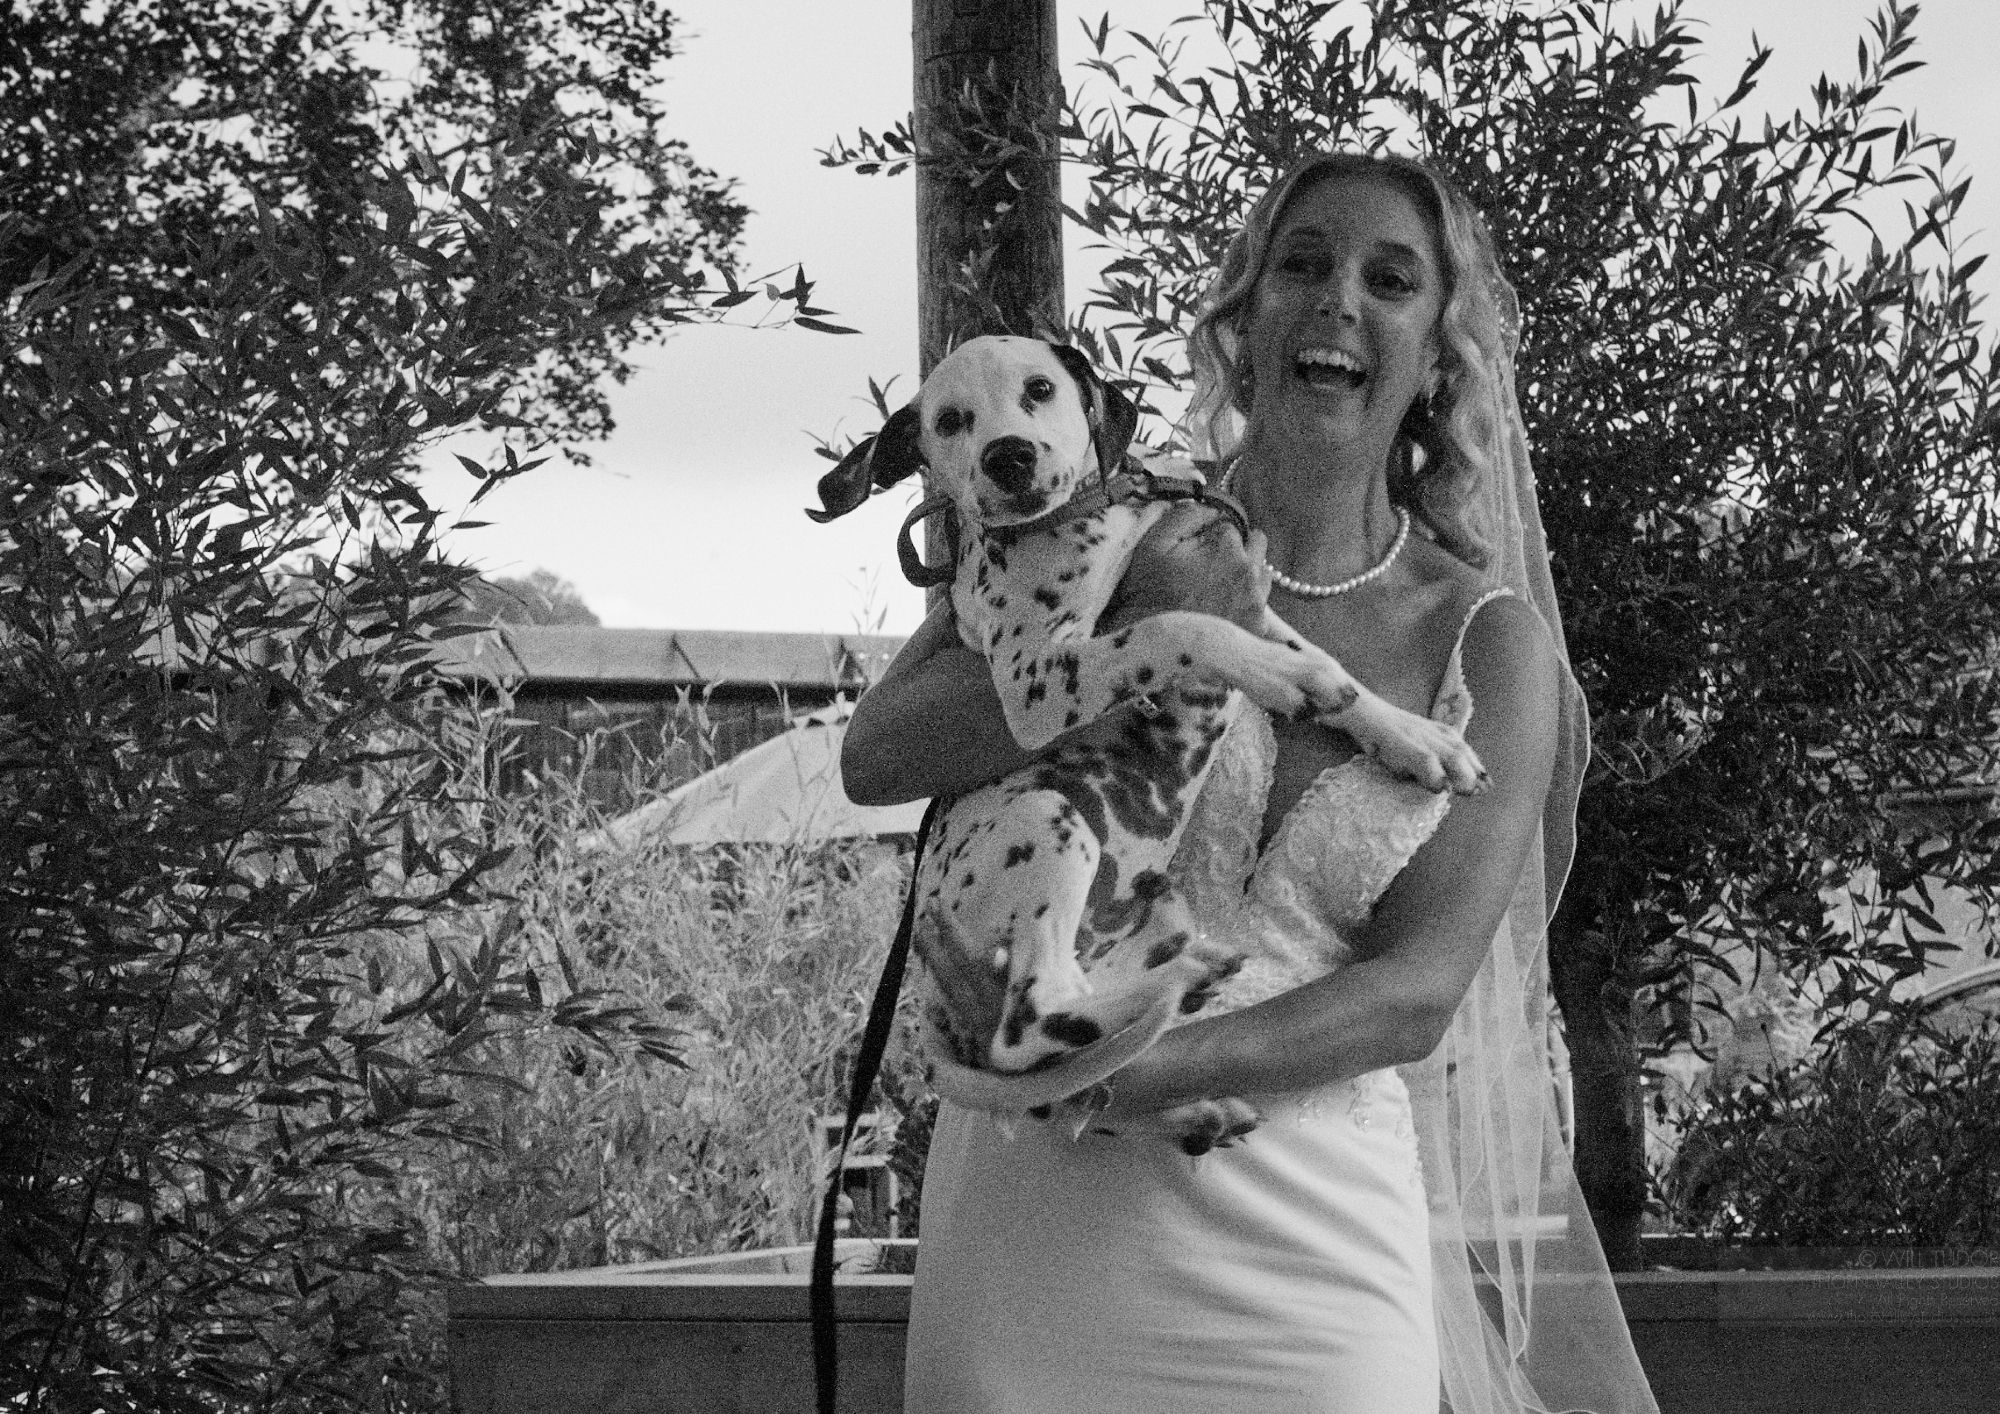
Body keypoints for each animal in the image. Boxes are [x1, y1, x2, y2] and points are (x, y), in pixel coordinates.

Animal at [808, 334, 1488, 1136]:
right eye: (949, 421)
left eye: (1040, 388)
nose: (1008, 457)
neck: (1103, 516)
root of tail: (939, 1006)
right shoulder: (1038, 682)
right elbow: (1176, 626)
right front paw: (1279, 677)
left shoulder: (1250, 604)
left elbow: (1330, 669)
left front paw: (1415, 737)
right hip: (1050, 820)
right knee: (1032, 1027)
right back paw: (1182, 984)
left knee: (1081, 1068)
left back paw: (1191, 1092)